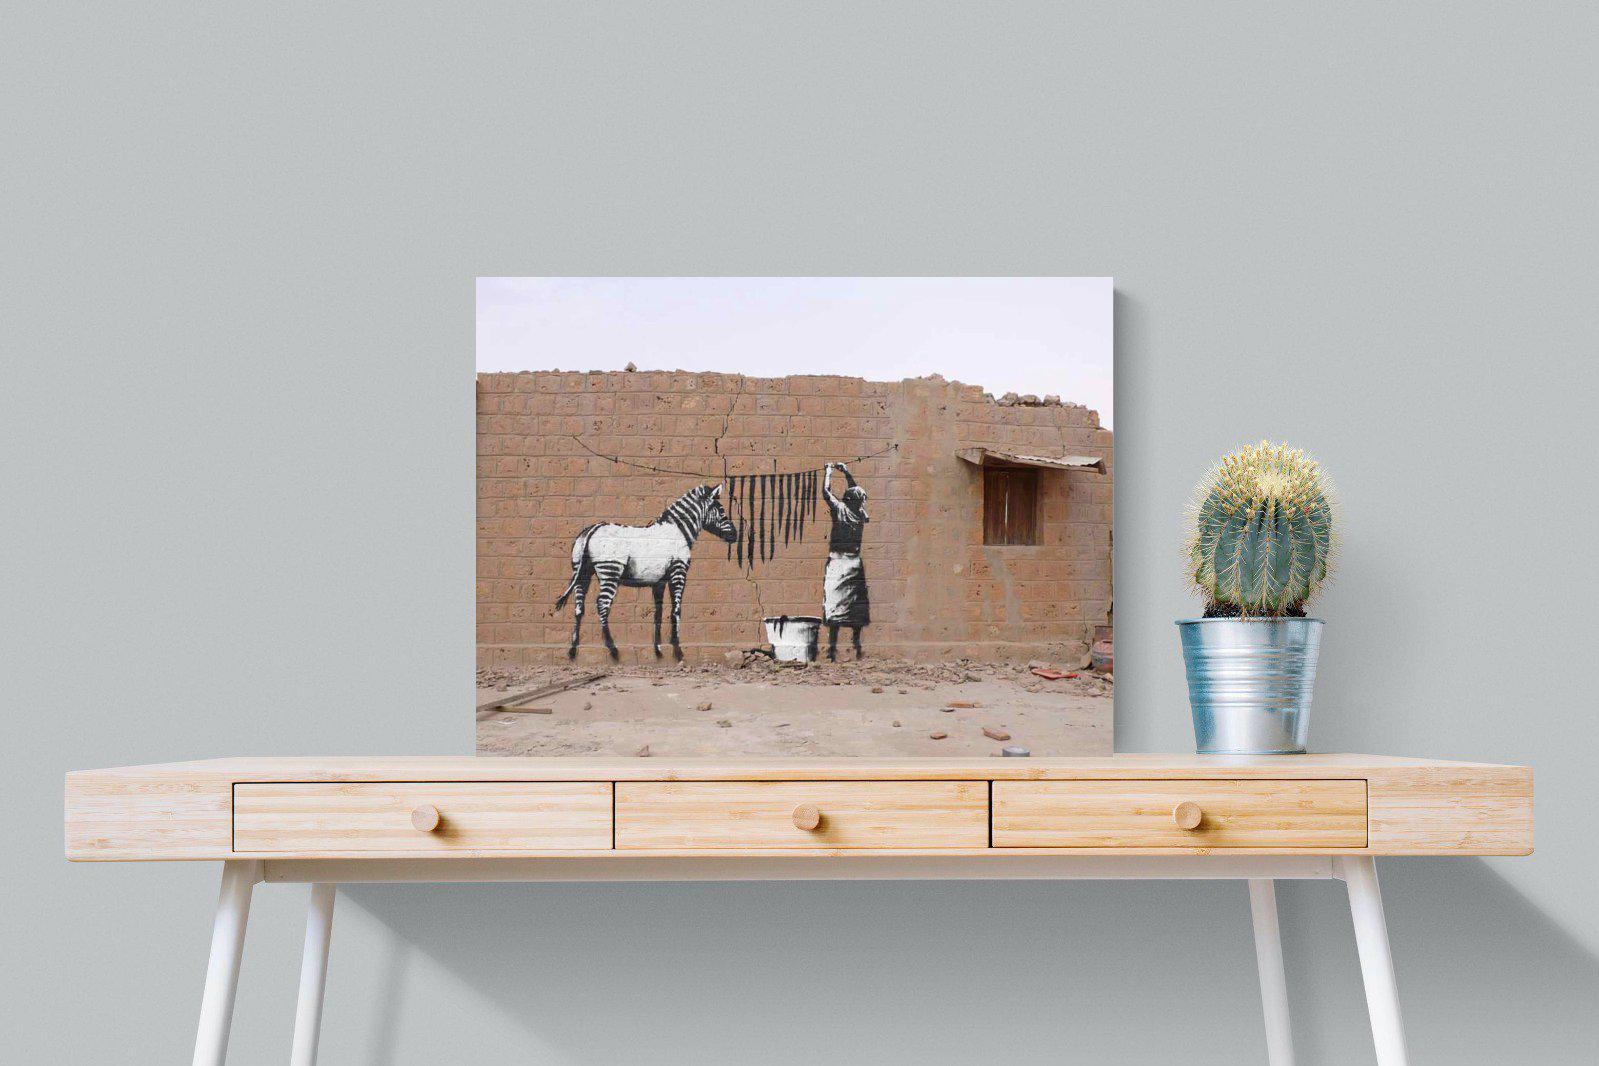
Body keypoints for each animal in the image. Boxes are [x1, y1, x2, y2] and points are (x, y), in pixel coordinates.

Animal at [553, 484, 738, 661]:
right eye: (721, 510)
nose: (735, 535)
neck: (678, 531)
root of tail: (593, 529)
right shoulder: (678, 573)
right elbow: (676, 611)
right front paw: (677, 650)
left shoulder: (659, 582)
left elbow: (658, 613)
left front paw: (658, 650)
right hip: (610, 570)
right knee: (602, 605)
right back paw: (613, 649)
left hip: (581, 571)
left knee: (579, 606)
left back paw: (573, 650)